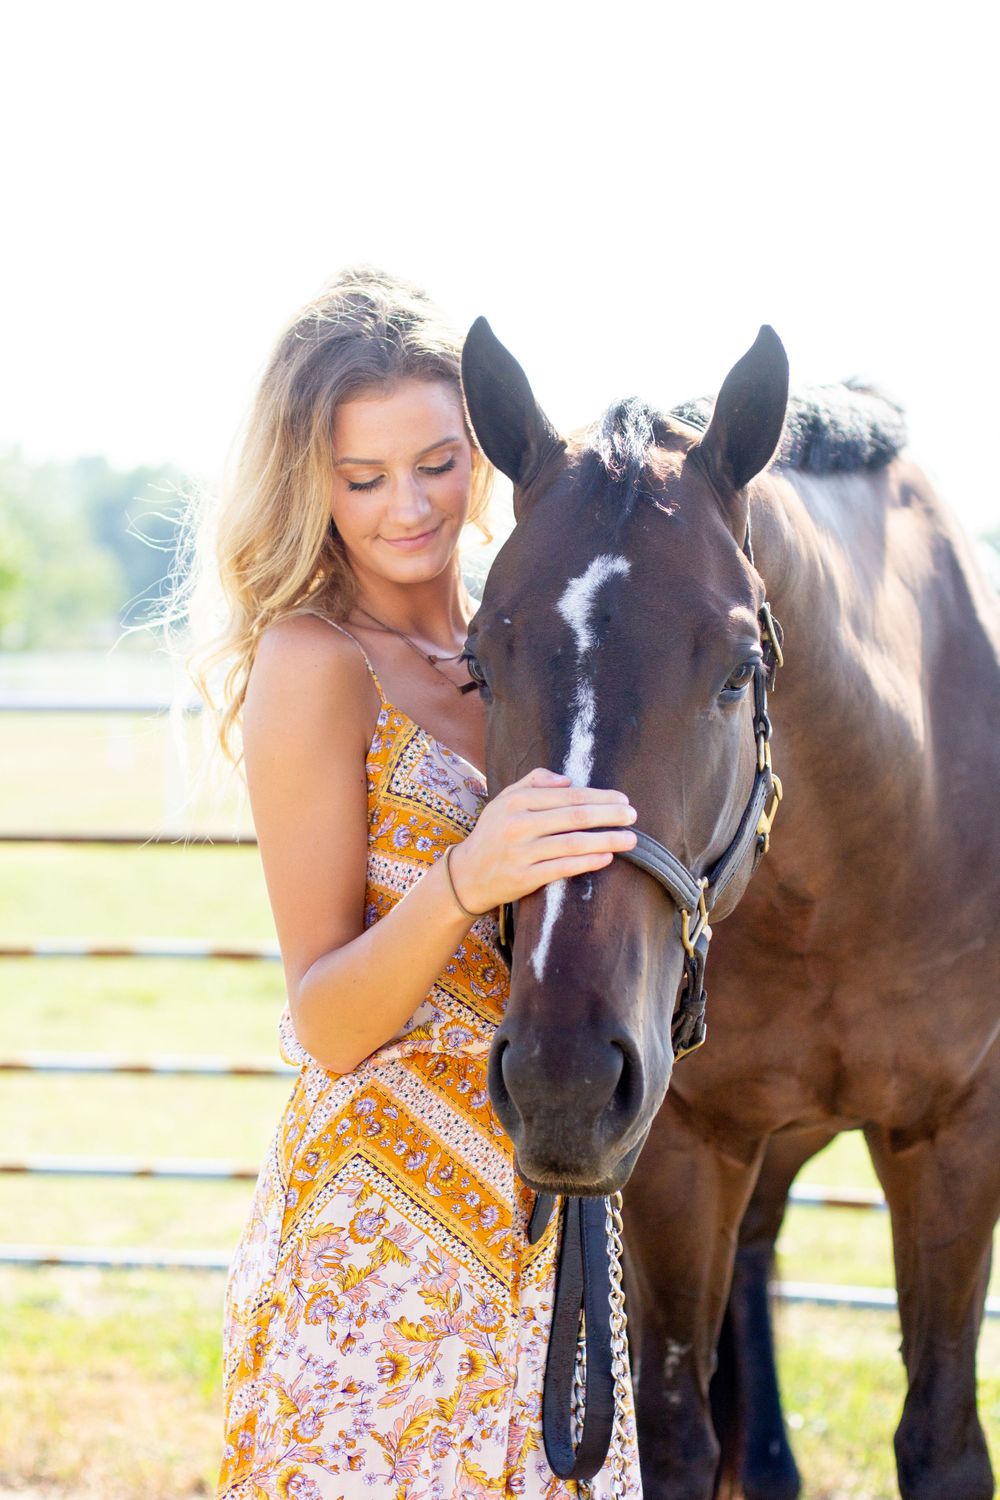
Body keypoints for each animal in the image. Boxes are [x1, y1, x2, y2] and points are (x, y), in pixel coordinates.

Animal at [459, 318, 1000, 1500]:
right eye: (476, 664)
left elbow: (941, 1439)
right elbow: (674, 1431)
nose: (563, 1075)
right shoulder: (683, 1148)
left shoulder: (953, 1136)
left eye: (739, 667)